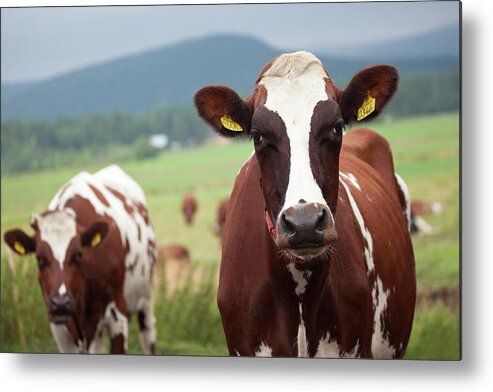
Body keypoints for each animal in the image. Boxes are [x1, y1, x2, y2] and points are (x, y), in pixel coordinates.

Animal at [3, 164, 156, 354]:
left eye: (78, 255)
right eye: (39, 259)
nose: (61, 303)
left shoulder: (118, 314)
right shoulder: (59, 327)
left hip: (146, 300)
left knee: (148, 338)